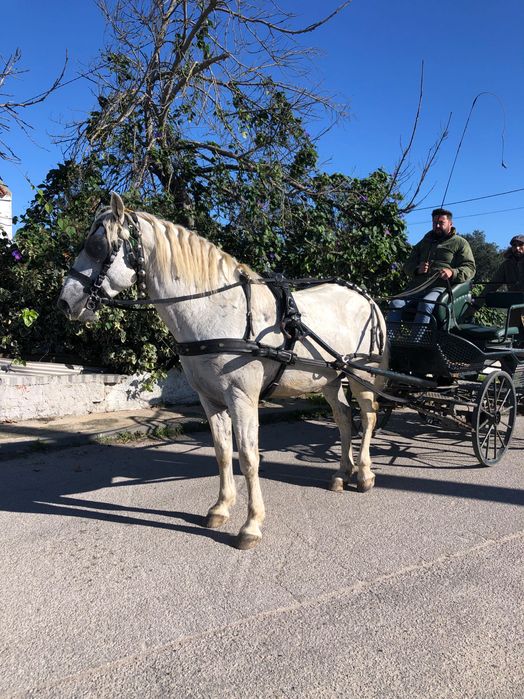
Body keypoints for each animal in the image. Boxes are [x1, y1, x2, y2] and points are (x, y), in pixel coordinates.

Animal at [58, 192, 389, 549]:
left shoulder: (242, 398)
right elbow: (221, 452)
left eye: (97, 246)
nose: (65, 302)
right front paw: (221, 508)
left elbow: (248, 456)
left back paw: (364, 473)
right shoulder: (210, 399)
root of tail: (367, 298)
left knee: (368, 416)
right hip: (330, 377)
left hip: (362, 376)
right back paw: (342, 473)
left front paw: (251, 524)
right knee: (343, 417)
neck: (212, 310)